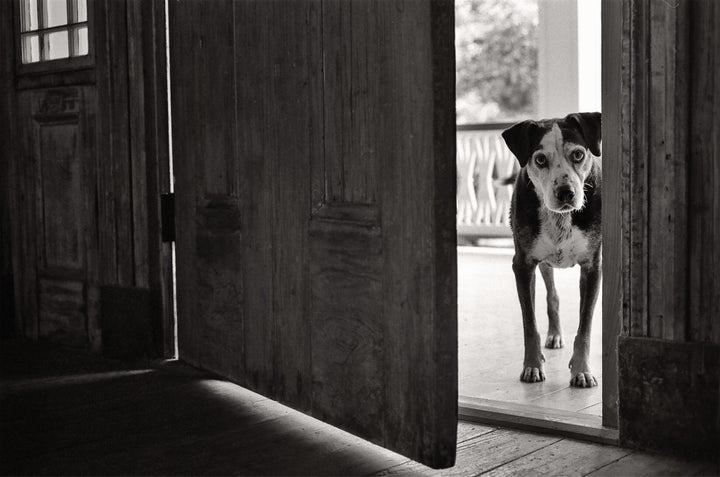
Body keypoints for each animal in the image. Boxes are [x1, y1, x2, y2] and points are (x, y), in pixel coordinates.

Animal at [500, 111, 600, 386]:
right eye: (540, 159)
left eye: (578, 154)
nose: (566, 192)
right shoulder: (523, 265)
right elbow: (529, 324)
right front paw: (532, 366)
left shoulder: (592, 267)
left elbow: (585, 325)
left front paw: (582, 370)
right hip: (542, 263)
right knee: (551, 295)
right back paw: (554, 335)